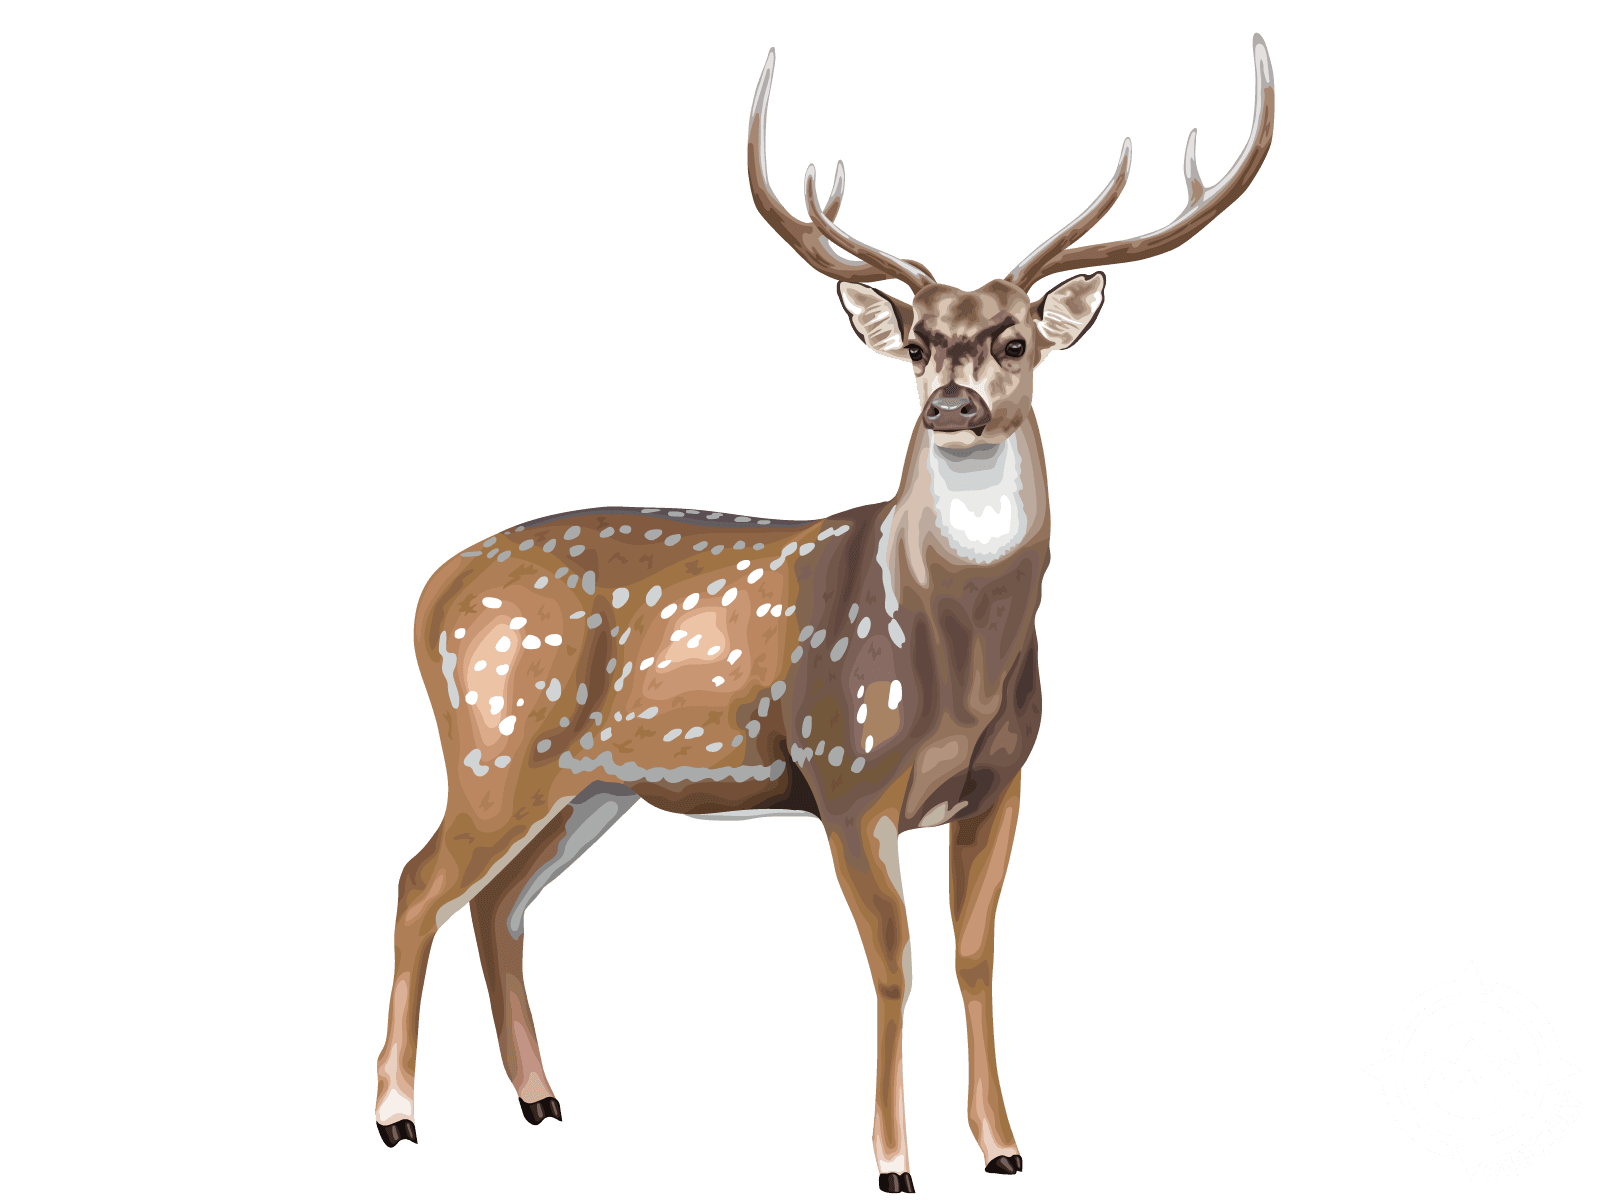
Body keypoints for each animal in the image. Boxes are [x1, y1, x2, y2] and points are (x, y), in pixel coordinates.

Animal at [375, 34, 1275, 1192]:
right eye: (916, 345)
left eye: (1016, 342)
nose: (950, 405)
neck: (955, 656)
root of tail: (432, 588)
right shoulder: (850, 777)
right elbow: (895, 965)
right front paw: (892, 1161)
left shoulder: (1003, 786)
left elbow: (973, 957)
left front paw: (1003, 1146)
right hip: (494, 740)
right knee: (418, 886)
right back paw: (396, 1115)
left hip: (593, 785)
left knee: (499, 903)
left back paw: (540, 1099)